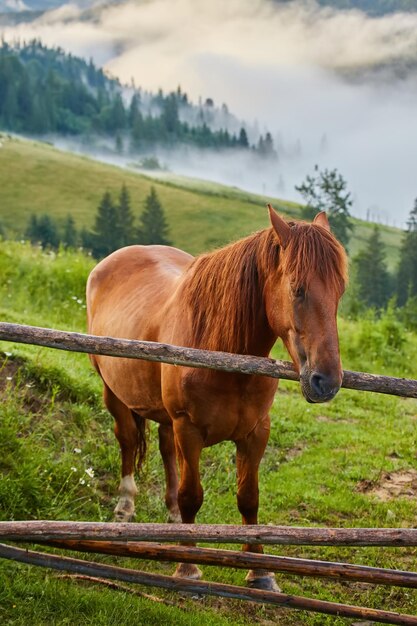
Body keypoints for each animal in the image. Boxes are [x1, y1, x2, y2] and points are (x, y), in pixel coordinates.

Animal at [86, 206, 346, 588]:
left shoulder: (255, 434)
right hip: (114, 393)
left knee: (165, 448)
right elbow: (192, 496)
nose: (326, 381)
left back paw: (172, 519)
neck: (224, 355)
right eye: (297, 289)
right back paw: (125, 507)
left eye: (340, 292)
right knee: (128, 440)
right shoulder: (189, 429)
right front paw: (188, 566)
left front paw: (260, 571)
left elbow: (249, 499)